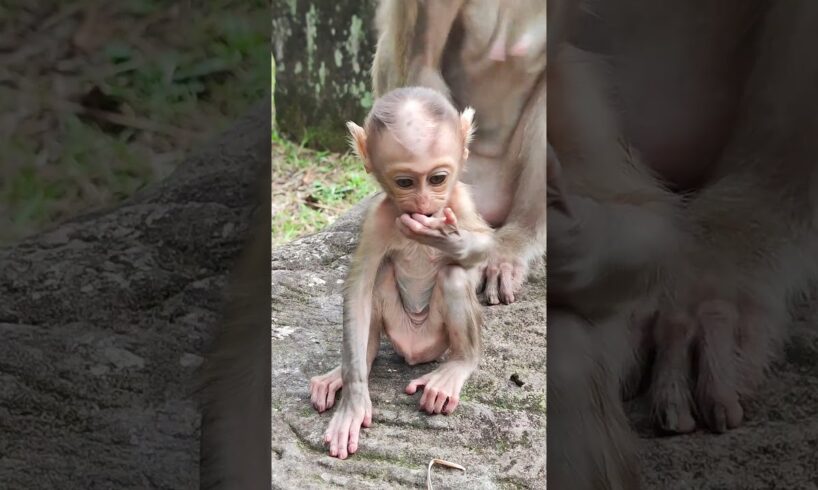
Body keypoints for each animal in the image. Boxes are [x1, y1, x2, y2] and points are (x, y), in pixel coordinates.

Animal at [308, 86, 495, 460]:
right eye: (406, 182)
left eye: (437, 179)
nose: (423, 205)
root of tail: (414, 353)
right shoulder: (377, 219)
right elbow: (358, 289)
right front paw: (354, 400)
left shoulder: (459, 198)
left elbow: (484, 245)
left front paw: (448, 239)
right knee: (376, 284)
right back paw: (350, 368)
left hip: (437, 341)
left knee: (453, 277)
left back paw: (458, 366)